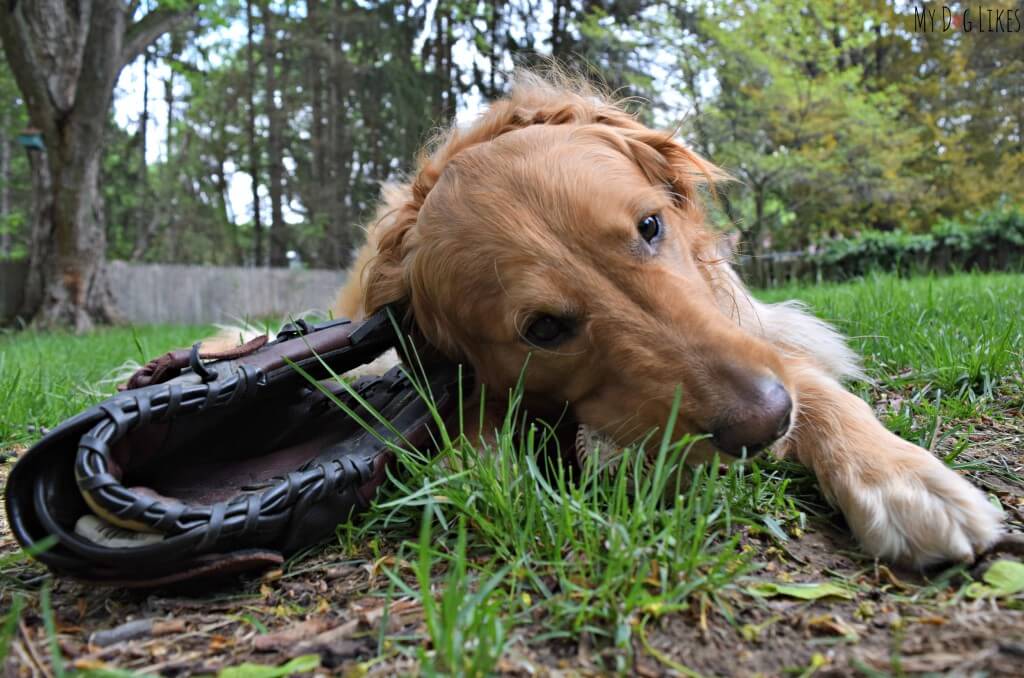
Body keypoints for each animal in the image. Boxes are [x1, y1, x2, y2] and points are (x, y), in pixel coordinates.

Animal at [329, 70, 999, 569]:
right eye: (542, 329)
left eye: (650, 226)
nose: (765, 424)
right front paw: (484, 460)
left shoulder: (750, 329)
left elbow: (818, 384)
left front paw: (903, 480)